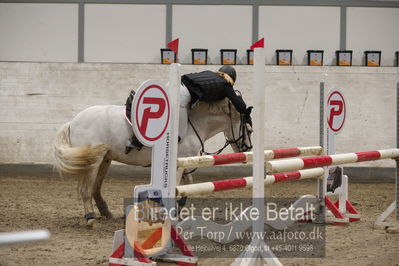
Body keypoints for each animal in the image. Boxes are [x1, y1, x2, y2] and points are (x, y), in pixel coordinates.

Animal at [53, 96, 253, 225]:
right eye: (250, 129)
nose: (247, 150)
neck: (192, 123)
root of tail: (73, 122)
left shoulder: (184, 163)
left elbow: (186, 187)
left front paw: (176, 211)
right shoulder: (178, 164)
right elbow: (175, 188)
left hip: (105, 159)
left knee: (95, 188)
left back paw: (106, 213)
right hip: (93, 162)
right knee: (85, 190)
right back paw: (90, 218)